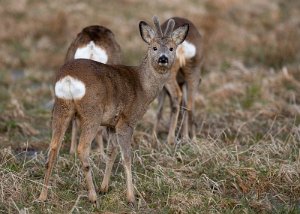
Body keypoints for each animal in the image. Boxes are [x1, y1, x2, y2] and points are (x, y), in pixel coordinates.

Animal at [152, 16, 204, 144]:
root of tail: (183, 47)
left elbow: (159, 109)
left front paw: (153, 139)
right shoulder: (183, 82)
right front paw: (185, 137)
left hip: (169, 76)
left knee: (176, 97)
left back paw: (169, 139)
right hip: (193, 73)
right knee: (189, 104)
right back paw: (192, 139)